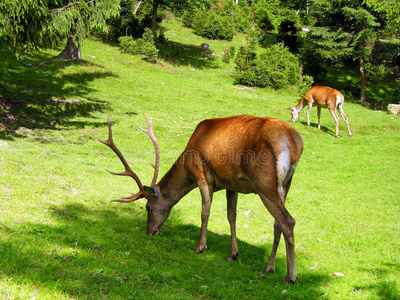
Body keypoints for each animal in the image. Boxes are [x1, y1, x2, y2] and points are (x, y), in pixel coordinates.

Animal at [94, 113, 304, 282]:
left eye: (148, 208)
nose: (150, 232)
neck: (186, 162)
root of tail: (294, 143)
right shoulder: (231, 184)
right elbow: (231, 216)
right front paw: (232, 254)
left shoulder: (201, 174)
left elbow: (205, 211)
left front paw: (200, 246)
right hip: (286, 184)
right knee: (277, 223)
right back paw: (270, 266)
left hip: (264, 182)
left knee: (288, 220)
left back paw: (291, 276)